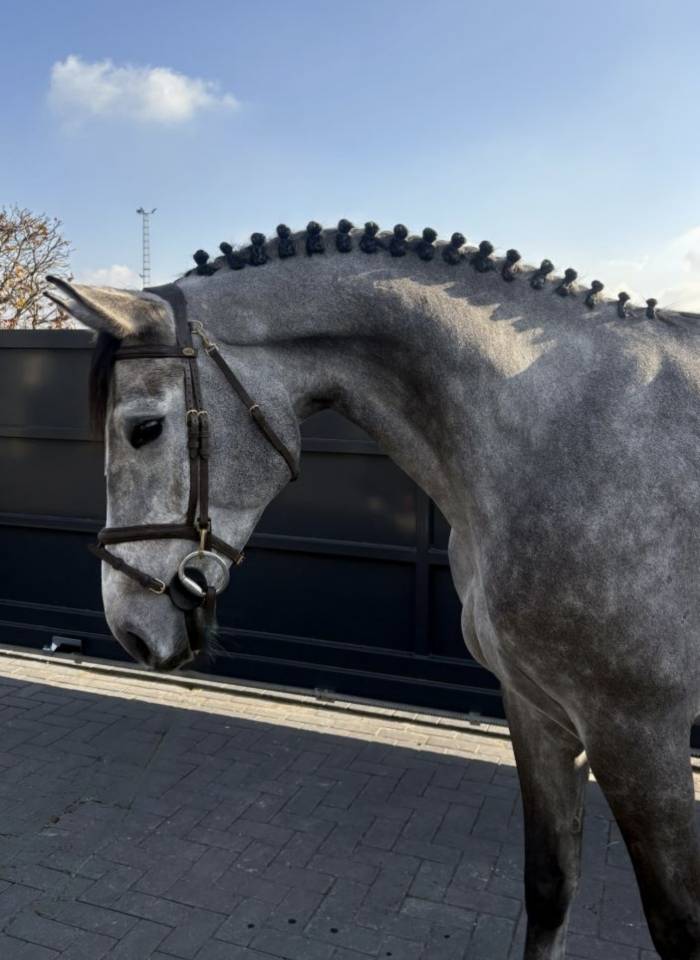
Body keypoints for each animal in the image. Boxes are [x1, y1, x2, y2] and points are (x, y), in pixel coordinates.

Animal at [47, 220, 700, 959]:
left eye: (145, 428)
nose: (127, 625)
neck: (552, 436)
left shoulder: (637, 736)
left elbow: (678, 924)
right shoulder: (538, 711)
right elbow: (549, 885)